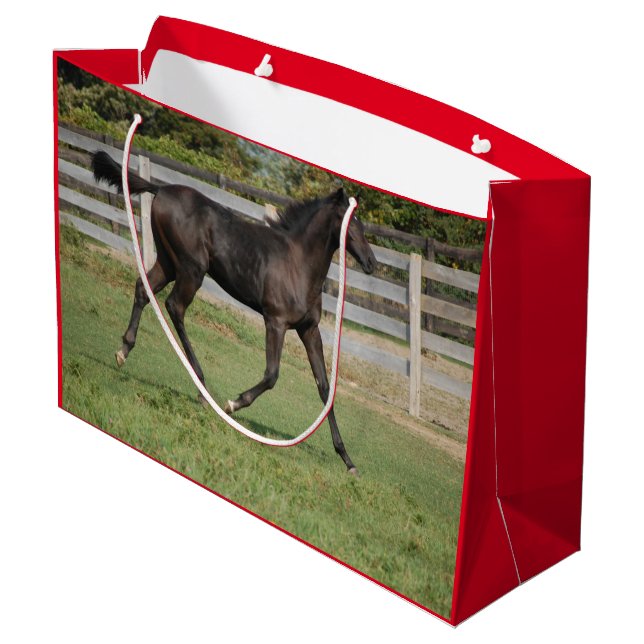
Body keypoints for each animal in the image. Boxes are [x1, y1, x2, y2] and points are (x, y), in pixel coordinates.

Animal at [91, 151, 377, 474]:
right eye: (350, 223)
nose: (371, 263)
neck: (298, 264)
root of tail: (161, 189)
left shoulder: (308, 330)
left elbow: (325, 389)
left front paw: (347, 460)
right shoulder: (275, 322)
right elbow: (272, 375)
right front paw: (233, 404)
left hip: (168, 262)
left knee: (143, 289)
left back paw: (124, 350)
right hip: (191, 269)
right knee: (174, 307)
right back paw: (201, 387)